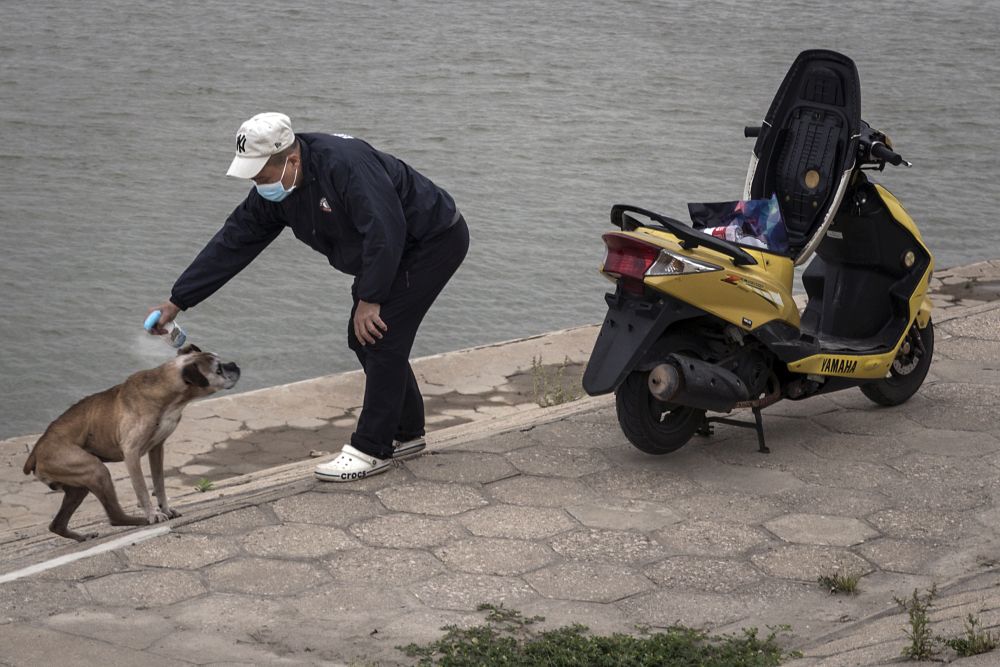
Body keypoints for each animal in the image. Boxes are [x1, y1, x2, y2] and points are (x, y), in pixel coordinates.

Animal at [22, 348, 241, 540]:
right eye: (218, 370)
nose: (234, 364)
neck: (165, 389)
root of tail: (36, 451)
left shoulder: (157, 449)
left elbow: (159, 483)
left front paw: (165, 509)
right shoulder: (131, 453)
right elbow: (142, 488)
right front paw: (153, 514)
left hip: (79, 486)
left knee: (57, 524)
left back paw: (82, 536)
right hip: (95, 470)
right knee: (114, 517)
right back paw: (141, 521)